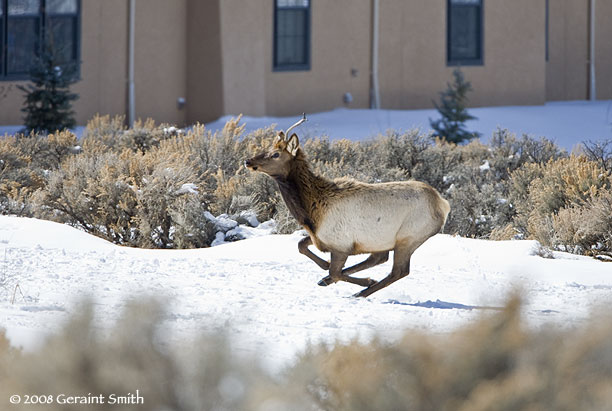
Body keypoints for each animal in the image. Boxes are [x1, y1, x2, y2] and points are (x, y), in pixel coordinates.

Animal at [244, 114, 450, 298]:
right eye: (267, 148)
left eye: (275, 154)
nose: (248, 161)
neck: (311, 213)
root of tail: (443, 204)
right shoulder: (322, 238)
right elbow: (301, 245)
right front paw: (326, 268)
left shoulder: (340, 244)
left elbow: (335, 271)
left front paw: (364, 280)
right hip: (381, 240)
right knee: (379, 258)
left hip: (408, 238)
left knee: (398, 271)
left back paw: (360, 292)